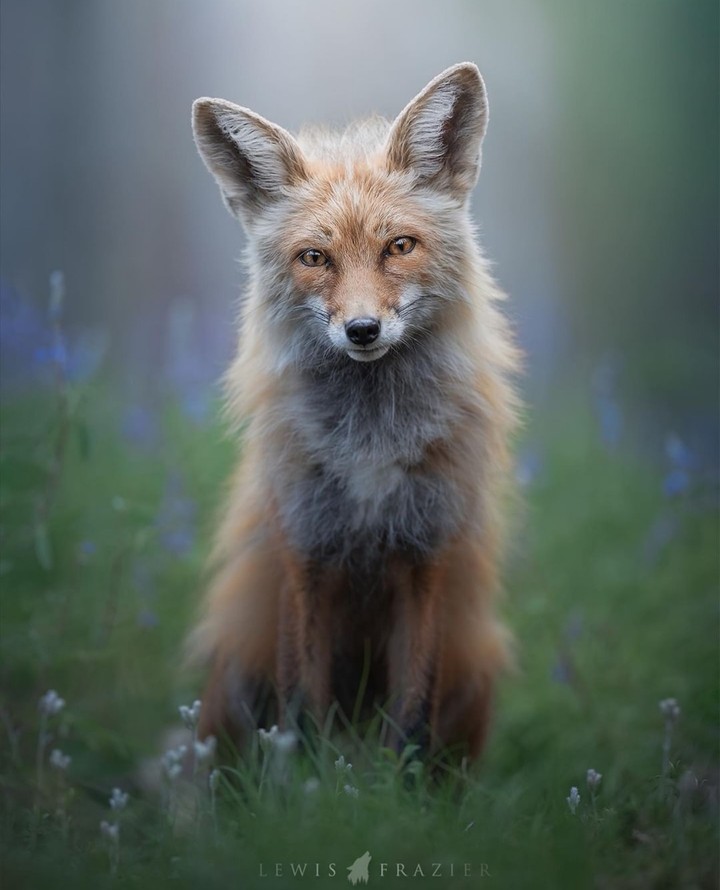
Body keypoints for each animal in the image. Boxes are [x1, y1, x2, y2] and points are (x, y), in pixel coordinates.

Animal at [189, 63, 520, 765]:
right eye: (315, 258)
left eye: (400, 246)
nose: (363, 330)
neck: (370, 446)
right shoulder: (304, 556)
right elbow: (300, 720)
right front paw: (308, 787)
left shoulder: (428, 560)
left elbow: (413, 722)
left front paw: (398, 790)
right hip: (232, 678)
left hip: (475, 671)